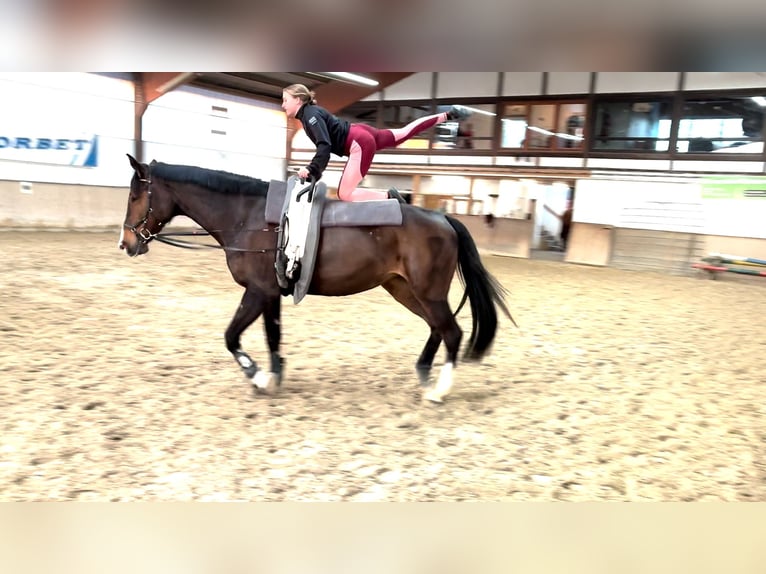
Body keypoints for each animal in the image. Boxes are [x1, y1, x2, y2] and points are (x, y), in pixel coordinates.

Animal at [119, 154, 514, 403]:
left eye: (136, 195)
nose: (126, 243)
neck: (247, 216)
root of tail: (442, 218)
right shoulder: (270, 294)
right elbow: (273, 336)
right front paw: (274, 376)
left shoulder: (257, 291)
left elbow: (231, 337)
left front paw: (258, 376)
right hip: (405, 289)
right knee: (437, 329)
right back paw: (423, 373)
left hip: (427, 292)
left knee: (452, 332)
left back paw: (438, 392)